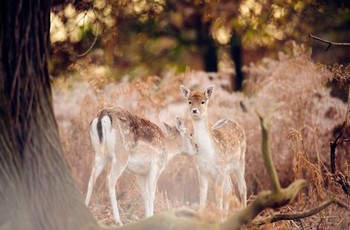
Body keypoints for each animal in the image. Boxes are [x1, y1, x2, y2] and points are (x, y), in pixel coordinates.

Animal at [180, 84, 246, 216]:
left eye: (203, 101)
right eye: (189, 101)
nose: (194, 110)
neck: (208, 153)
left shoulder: (221, 168)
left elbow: (218, 195)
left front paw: (218, 216)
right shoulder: (201, 170)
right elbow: (203, 196)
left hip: (241, 159)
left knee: (242, 186)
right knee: (229, 187)